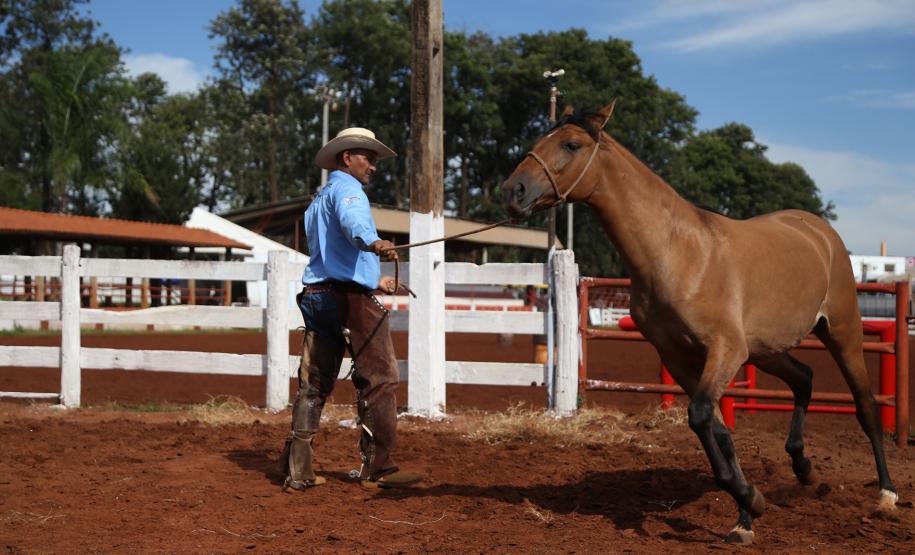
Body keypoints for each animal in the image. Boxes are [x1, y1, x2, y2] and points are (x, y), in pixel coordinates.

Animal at [501, 101, 898, 544]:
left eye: (571, 144)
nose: (513, 192)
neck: (678, 253)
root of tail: (819, 230)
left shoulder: (725, 350)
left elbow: (702, 416)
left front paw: (752, 501)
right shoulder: (680, 358)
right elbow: (717, 430)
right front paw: (746, 515)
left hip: (842, 333)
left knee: (865, 405)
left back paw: (886, 494)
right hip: (765, 350)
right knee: (804, 378)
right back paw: (803, 468)